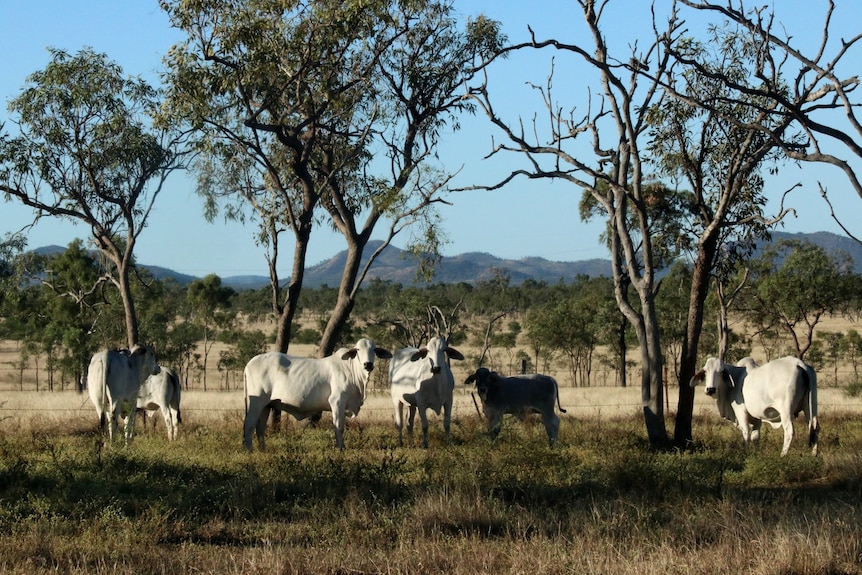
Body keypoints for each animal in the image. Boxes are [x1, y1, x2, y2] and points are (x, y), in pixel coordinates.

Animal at [243, 338, 392, 451]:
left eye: (374, 350)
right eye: (358, 350)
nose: (368, 364)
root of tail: (249, 363)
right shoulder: (337, 402)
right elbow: (339, 427)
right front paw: (340, 448)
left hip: (266, 405)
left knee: (260, 428)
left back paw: (263, 450)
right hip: (256, 402)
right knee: (249, 425)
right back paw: (250, 450)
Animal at [690, 356, 819, 456]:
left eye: (721, 372)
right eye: (705, 371)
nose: (710, 389)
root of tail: (799, 364)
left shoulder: (741, 412)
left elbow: (746, 433)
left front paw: (746, 453)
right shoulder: (757, 418)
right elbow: (755, 437)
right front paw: (756, 454)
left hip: (786, 410)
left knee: (789, 430)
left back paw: (783, 455)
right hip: (810, 406)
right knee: (815, 427)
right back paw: (814, 454)